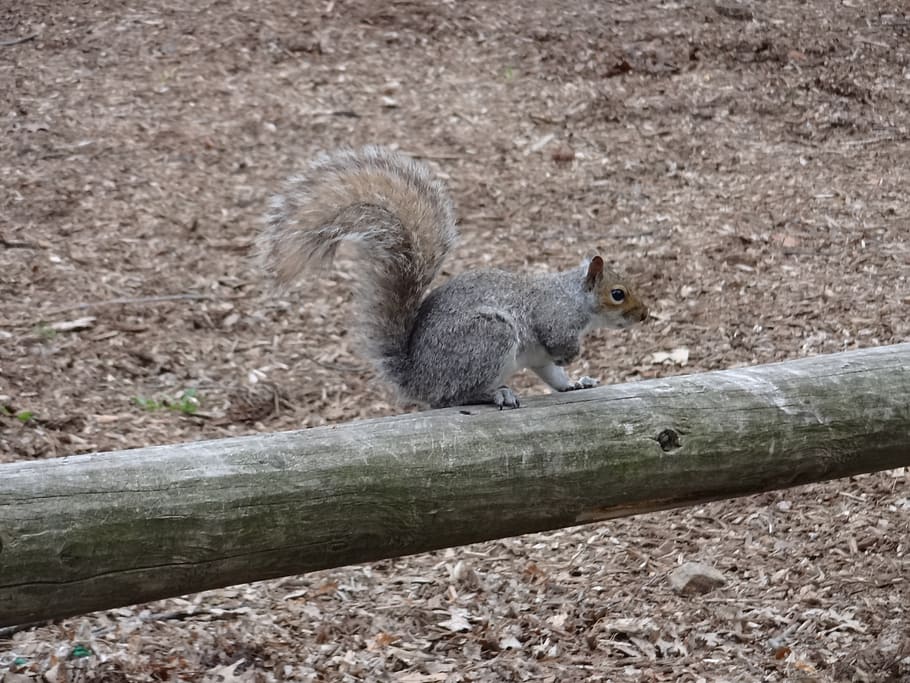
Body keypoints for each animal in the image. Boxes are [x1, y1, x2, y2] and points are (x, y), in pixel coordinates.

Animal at [258, 146, 649, 409]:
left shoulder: (538, 358)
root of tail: (417, 380)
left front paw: (574, 385)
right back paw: (496, 393)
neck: (574, 295)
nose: (645, 315)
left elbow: (551, 374)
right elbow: (556, 340)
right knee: (455, 396)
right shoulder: (554, 317)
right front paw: (573, 357)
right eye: (618, 293)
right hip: (489, 338)